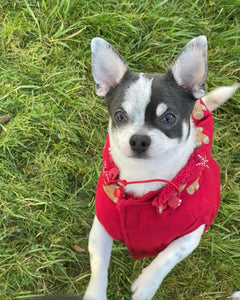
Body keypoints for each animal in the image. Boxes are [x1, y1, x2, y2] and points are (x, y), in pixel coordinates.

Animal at [83, 35, 239, 300]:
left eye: (169, 118)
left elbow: (168, 257)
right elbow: (99, 263)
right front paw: (95, 294)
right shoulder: (101, 226)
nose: (138, 139)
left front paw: (146, 286)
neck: (146, 177)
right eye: (120, 116)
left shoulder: (192, 233)